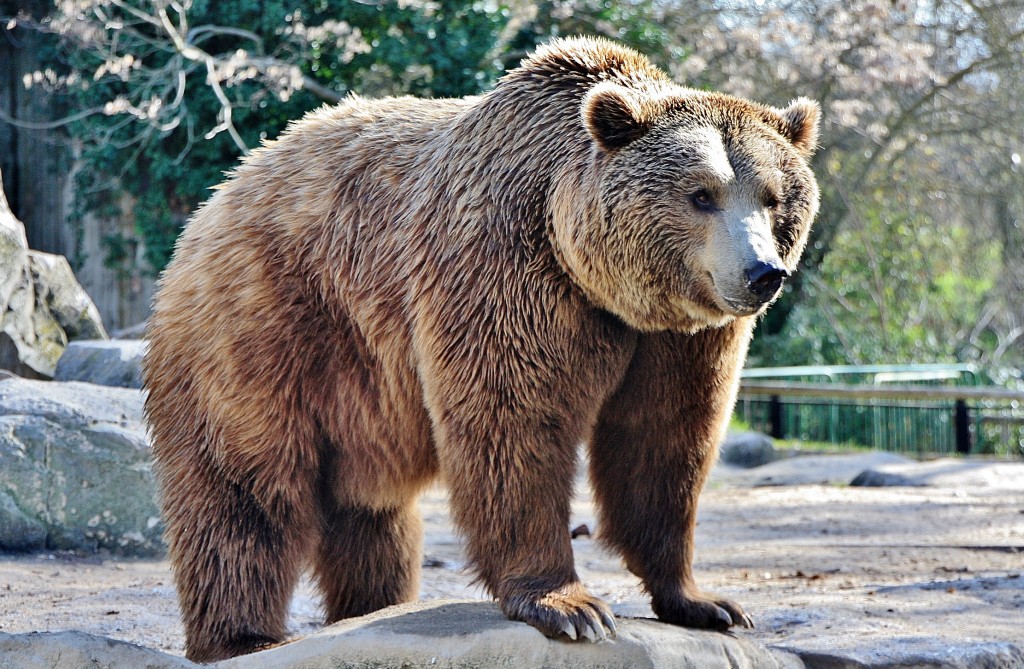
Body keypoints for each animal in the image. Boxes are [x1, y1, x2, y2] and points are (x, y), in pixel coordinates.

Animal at [142, 35, 815, 655]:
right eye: (702, 194)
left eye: (774, 197)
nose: (763, 272)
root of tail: (213, 203)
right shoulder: (505, 266)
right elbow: (513, 423)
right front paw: (567, 605)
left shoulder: (678, 341)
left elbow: (664, 442)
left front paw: (706, 602)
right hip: (264, 326)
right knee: (245, 489)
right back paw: (243, 636)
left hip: (358, 398)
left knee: (371, 514)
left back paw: (371, 604)